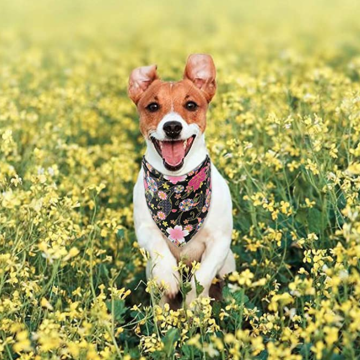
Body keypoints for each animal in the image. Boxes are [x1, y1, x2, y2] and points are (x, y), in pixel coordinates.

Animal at [128, 54, 235, 306]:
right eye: (153, 106)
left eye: (191, 105)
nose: (173, 127)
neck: (177, 184)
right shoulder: (144, 230)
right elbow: (158, 247)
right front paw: (169, 276)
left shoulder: (221, 241)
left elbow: (202, 276)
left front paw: (194, 301)